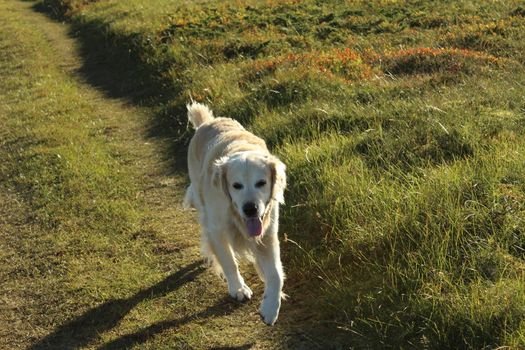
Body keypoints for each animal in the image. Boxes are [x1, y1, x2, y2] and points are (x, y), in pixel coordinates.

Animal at [182, 101, 284, 326]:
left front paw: (270, 308)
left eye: (261, 183)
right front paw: (238, 288)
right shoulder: (218, 230)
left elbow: (276, 274)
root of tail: (208, 122)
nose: (250, 208)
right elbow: (228, 261)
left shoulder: (267, 233)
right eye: (236, 185)